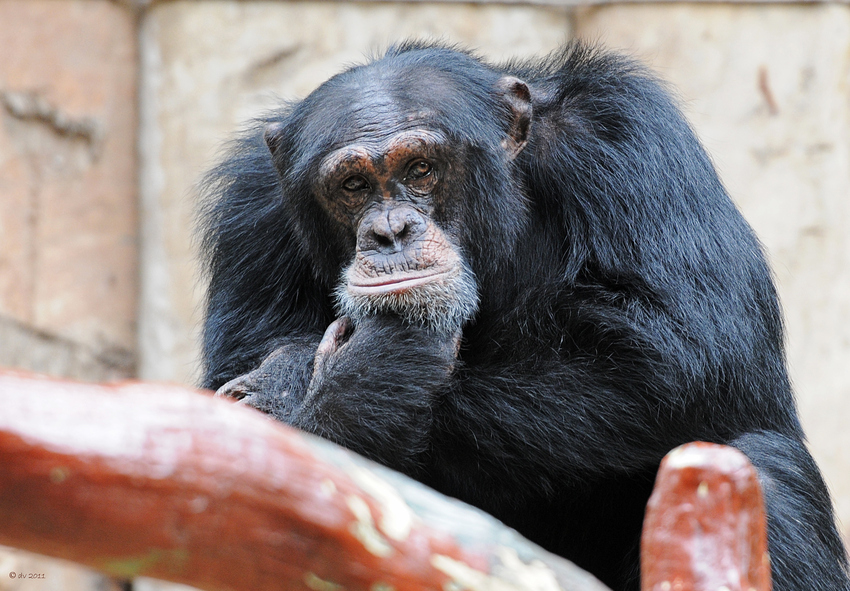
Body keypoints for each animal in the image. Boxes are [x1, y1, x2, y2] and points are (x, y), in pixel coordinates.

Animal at [199, 42, 848, 591]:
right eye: (353, 185)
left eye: (420, 169)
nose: (390, 232)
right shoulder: (249, 213)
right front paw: (342, 382)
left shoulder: (631, 135)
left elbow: (691, 351)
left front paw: (356, 380)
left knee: (757, 463)